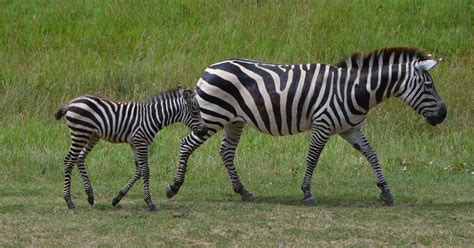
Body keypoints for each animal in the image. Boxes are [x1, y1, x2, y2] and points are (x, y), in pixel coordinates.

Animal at [54, 86, 206, 210]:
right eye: (194, 111)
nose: (204, 131)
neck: (152, 117)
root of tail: (72, 102)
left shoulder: (135, 144)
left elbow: (139, 170)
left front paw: (117, 198)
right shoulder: (141, 142)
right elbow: (145, 171)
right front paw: (150, 203)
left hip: (92, 135)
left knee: (79, 158)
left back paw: (90, 196)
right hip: (80, 133)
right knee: (69, 160)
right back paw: (69, 201)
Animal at [165, 47, 446, 206]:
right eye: (428, 86)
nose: (443, 115)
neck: (355, 90)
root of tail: (209, 68)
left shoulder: (350, 128)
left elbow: (372, 154)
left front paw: (385, 191)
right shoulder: (323, 124)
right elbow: (312, 158)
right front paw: (307, 193)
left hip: (234, 121)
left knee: (226, 152)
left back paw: (243, 192)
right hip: (212, 116)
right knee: (186, 144)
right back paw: (174, 187)